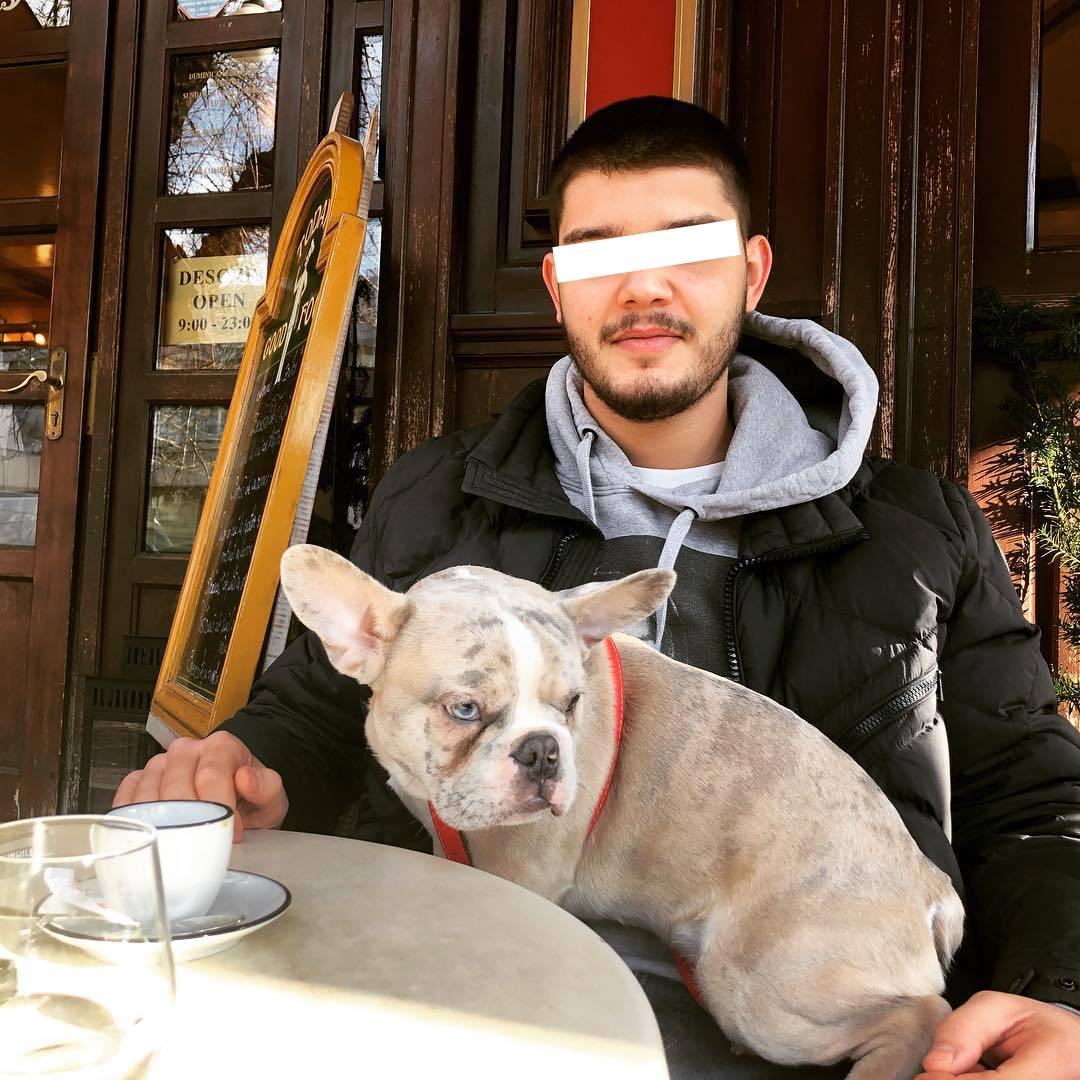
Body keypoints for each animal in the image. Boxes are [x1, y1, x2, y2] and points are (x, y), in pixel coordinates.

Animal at [279, 544, 963, 1079]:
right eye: (464, 710)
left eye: (572, 703)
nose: (543, 749)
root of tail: (932, 889)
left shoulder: (519, 870)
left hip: (756, 983)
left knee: (923, 1015)